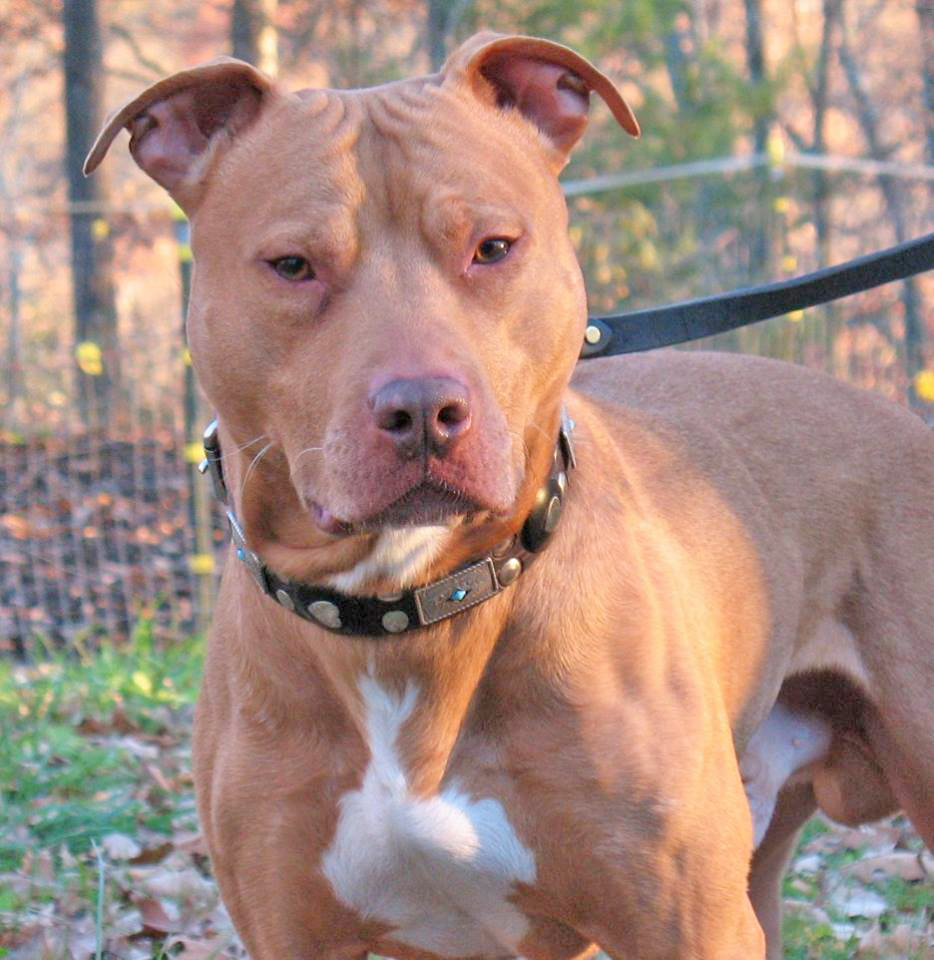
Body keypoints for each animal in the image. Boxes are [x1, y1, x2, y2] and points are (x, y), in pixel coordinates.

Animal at [86, 31, 934, 960]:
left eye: (492, 247)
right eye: (292, 266)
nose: (423, 409)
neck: (406, 609)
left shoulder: (687, 924)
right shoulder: (291, 930)